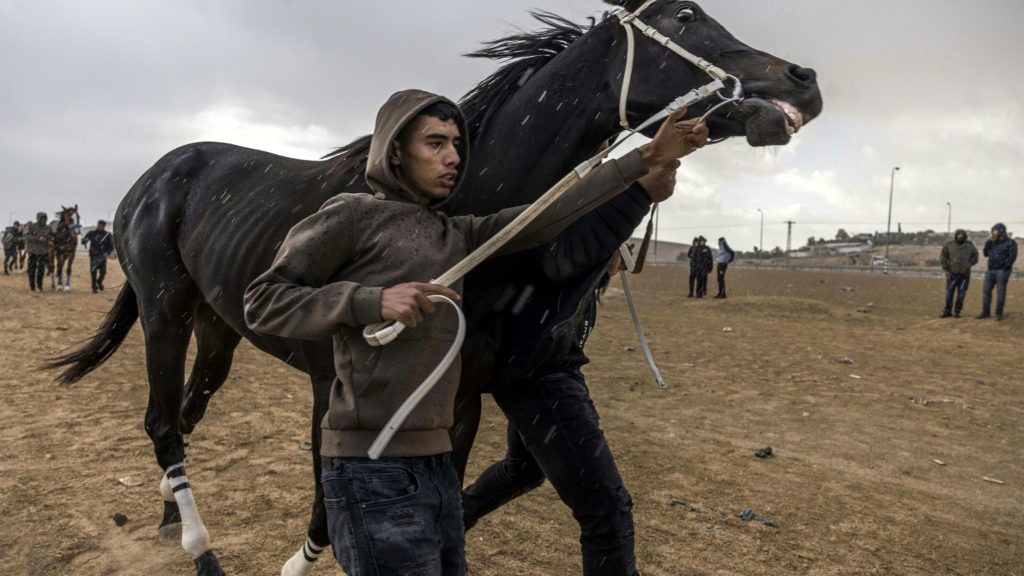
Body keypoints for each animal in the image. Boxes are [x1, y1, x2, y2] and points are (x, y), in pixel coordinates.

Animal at [46, 2, 822, 574]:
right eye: (687, 15)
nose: (804, 79)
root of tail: (157, 174)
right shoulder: (334, 387)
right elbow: (330, 505)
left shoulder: (472, 394)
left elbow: (452, 496)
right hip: (166, 311)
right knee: (160, 419)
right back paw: (200, 547)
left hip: (218, 330)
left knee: (183, 415)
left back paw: (167, 514)